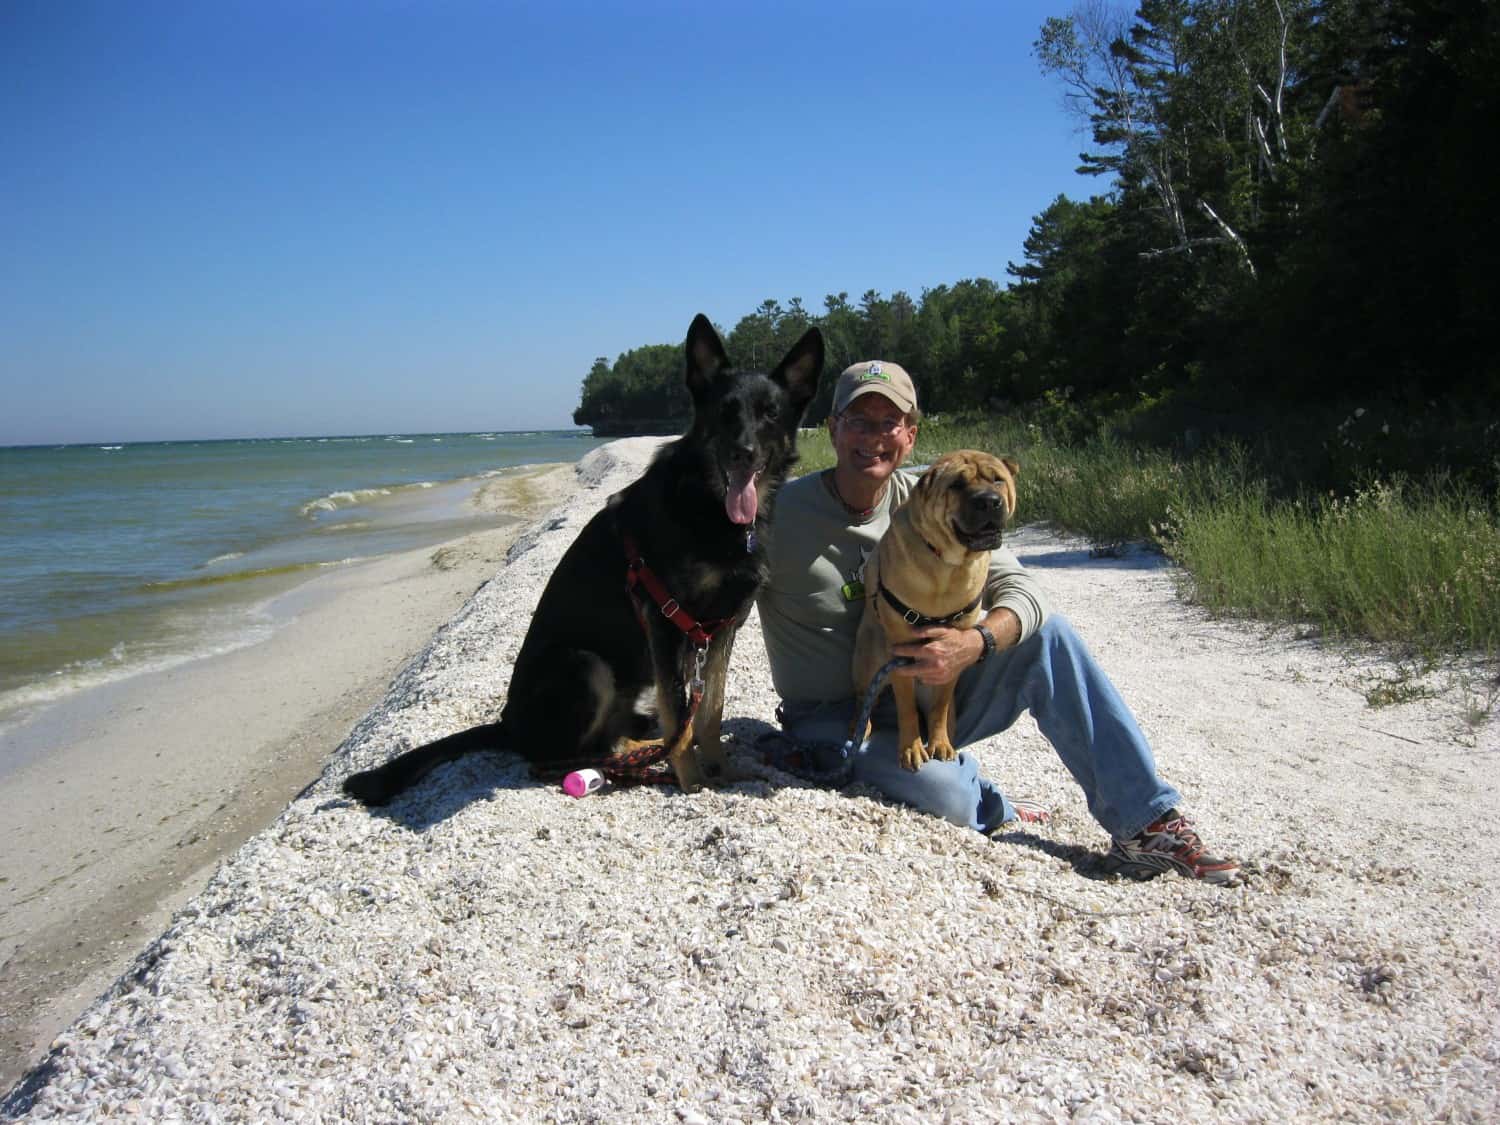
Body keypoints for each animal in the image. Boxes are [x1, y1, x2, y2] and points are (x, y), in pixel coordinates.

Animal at [343, 313, 822, 804]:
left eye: (771, 413)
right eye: (725, 412)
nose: (743, 453)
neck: (710, 509)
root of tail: (507, 724)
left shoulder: (722, 627)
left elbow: (708, 713)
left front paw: (722, 770)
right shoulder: (667, 623)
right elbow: (682, 718)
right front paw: (692, 783)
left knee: (618, 735)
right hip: (585, 665)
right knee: (568, 752)